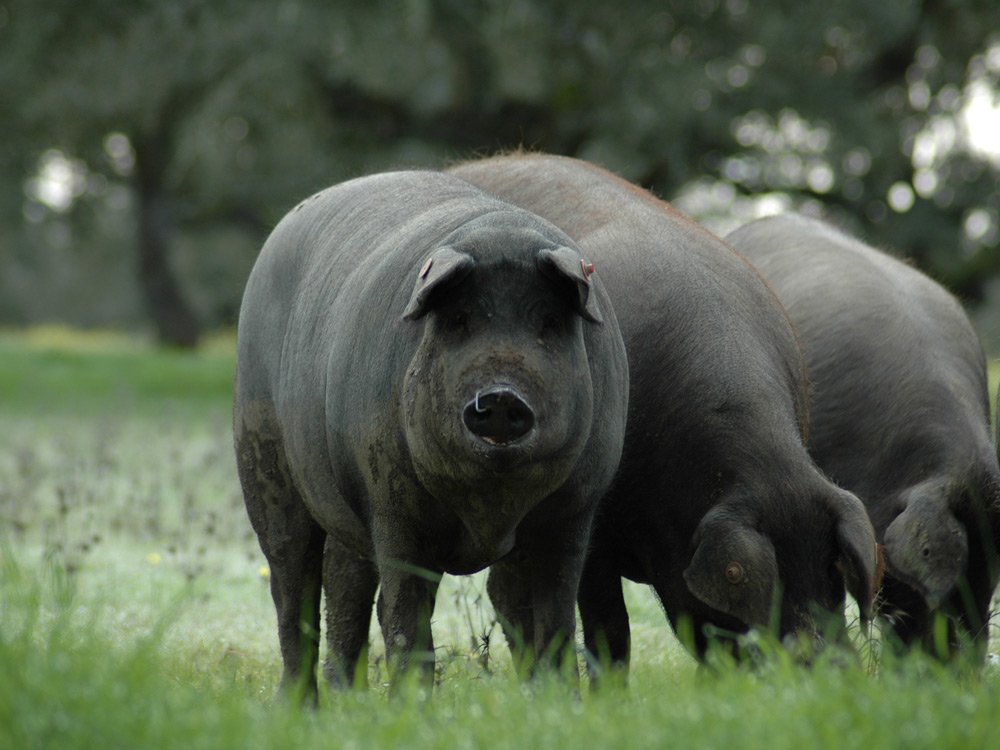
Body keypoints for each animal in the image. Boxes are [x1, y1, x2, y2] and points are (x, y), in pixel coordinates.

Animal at [231, 167, 628, 704]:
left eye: (548, 322)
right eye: (459, 320)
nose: (500, 396)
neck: (490, 512)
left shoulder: (575, 509)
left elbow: (557, 615)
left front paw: (560, 702)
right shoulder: (392, 501)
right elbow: (405, 613)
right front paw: (413, 706)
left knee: (347, 587)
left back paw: (347, 702)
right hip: (262, 461)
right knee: (293, 585)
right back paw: (299, 708)